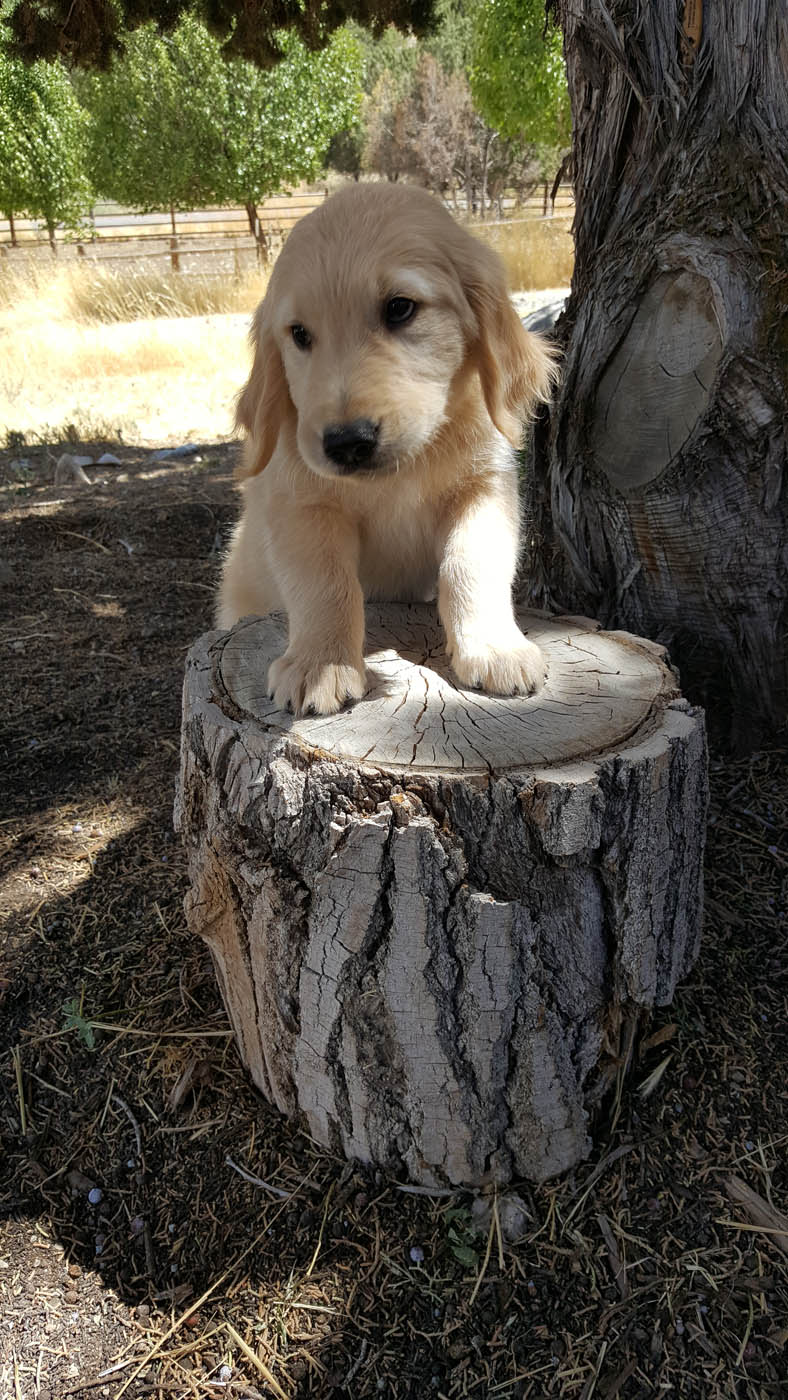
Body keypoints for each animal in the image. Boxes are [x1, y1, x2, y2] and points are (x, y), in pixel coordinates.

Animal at [218, 182, 557, 716]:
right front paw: (320, 666)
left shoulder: (486, 489)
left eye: (400, 308)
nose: (346, 443)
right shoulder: (299, 507)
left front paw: (495, 649)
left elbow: (471, 563)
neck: (401, 474)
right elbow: (326, 584)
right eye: (299, 334)